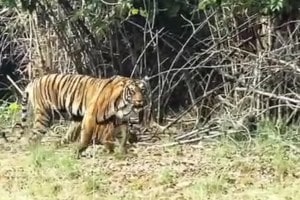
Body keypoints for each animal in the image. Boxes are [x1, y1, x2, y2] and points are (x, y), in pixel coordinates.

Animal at [14, 73, 149, 158]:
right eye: (132, 91)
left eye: (142, 90)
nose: (140, 101)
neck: (124, 105)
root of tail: (34, 80)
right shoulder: (91, 115)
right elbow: (86, 137)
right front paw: (78, 151)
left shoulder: (121, 121)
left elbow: (123, 137)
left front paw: (122, 151)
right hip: (44, 115)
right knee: (34, 136)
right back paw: (34, 151)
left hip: (72, 118)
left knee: (66, 137)